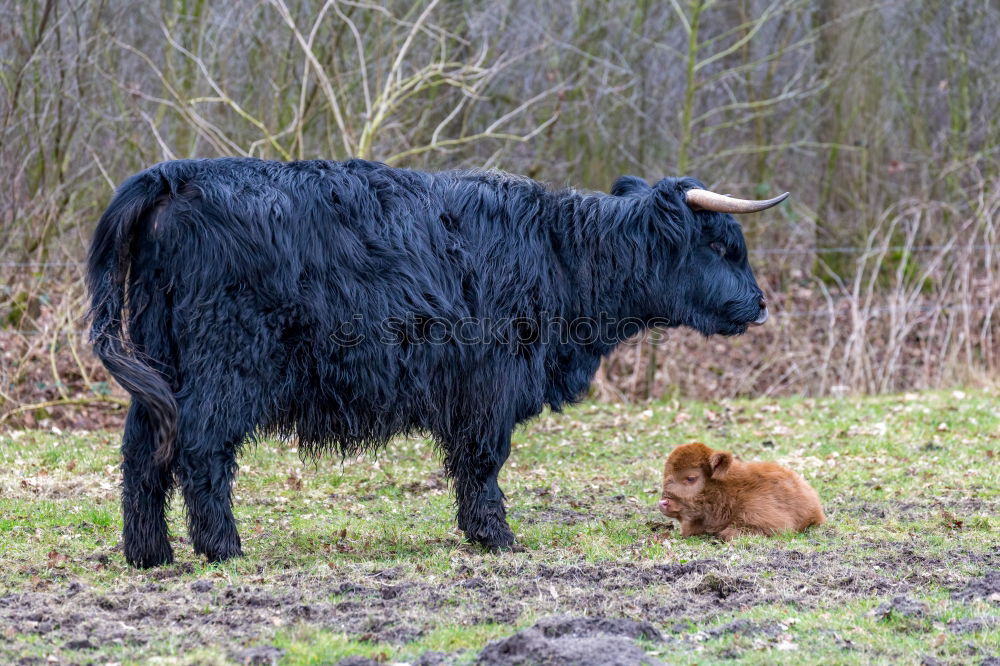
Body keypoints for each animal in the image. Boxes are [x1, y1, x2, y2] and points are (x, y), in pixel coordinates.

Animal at [90, 157, 784, 564]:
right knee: (201, 448)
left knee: (142, 448)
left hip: (161, 361)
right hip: (227, 363)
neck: (561, 256)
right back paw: (223, 549)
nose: (759, 304)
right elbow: (481, 460)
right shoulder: (489, 381)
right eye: (723, 247)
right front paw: (496, 537)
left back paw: (148, 553)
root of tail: (177, 176)